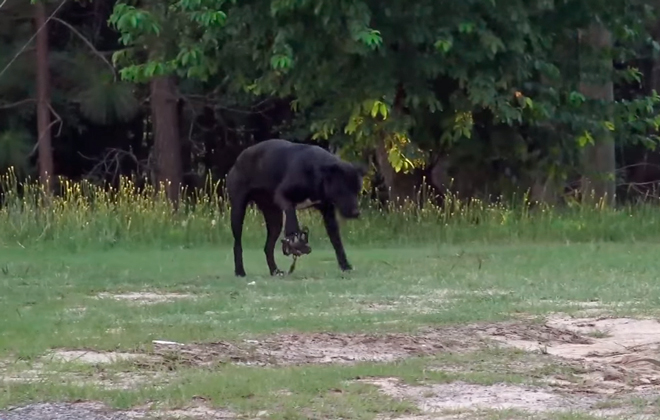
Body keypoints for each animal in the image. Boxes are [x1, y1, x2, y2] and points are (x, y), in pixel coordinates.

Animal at [227, 139, 366, 276]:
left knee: (268, 247)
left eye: (357, 190)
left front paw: (345, 266)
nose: (356, 213)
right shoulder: (283, 195)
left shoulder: (328, 211)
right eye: (342, 190)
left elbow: (337, 241)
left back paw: (275, 271)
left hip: (274, 218)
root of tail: (238, 160)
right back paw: (240, 271)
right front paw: (296, 239)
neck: (317, 173)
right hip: (238, 211)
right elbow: (291, 215)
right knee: (237, 244)